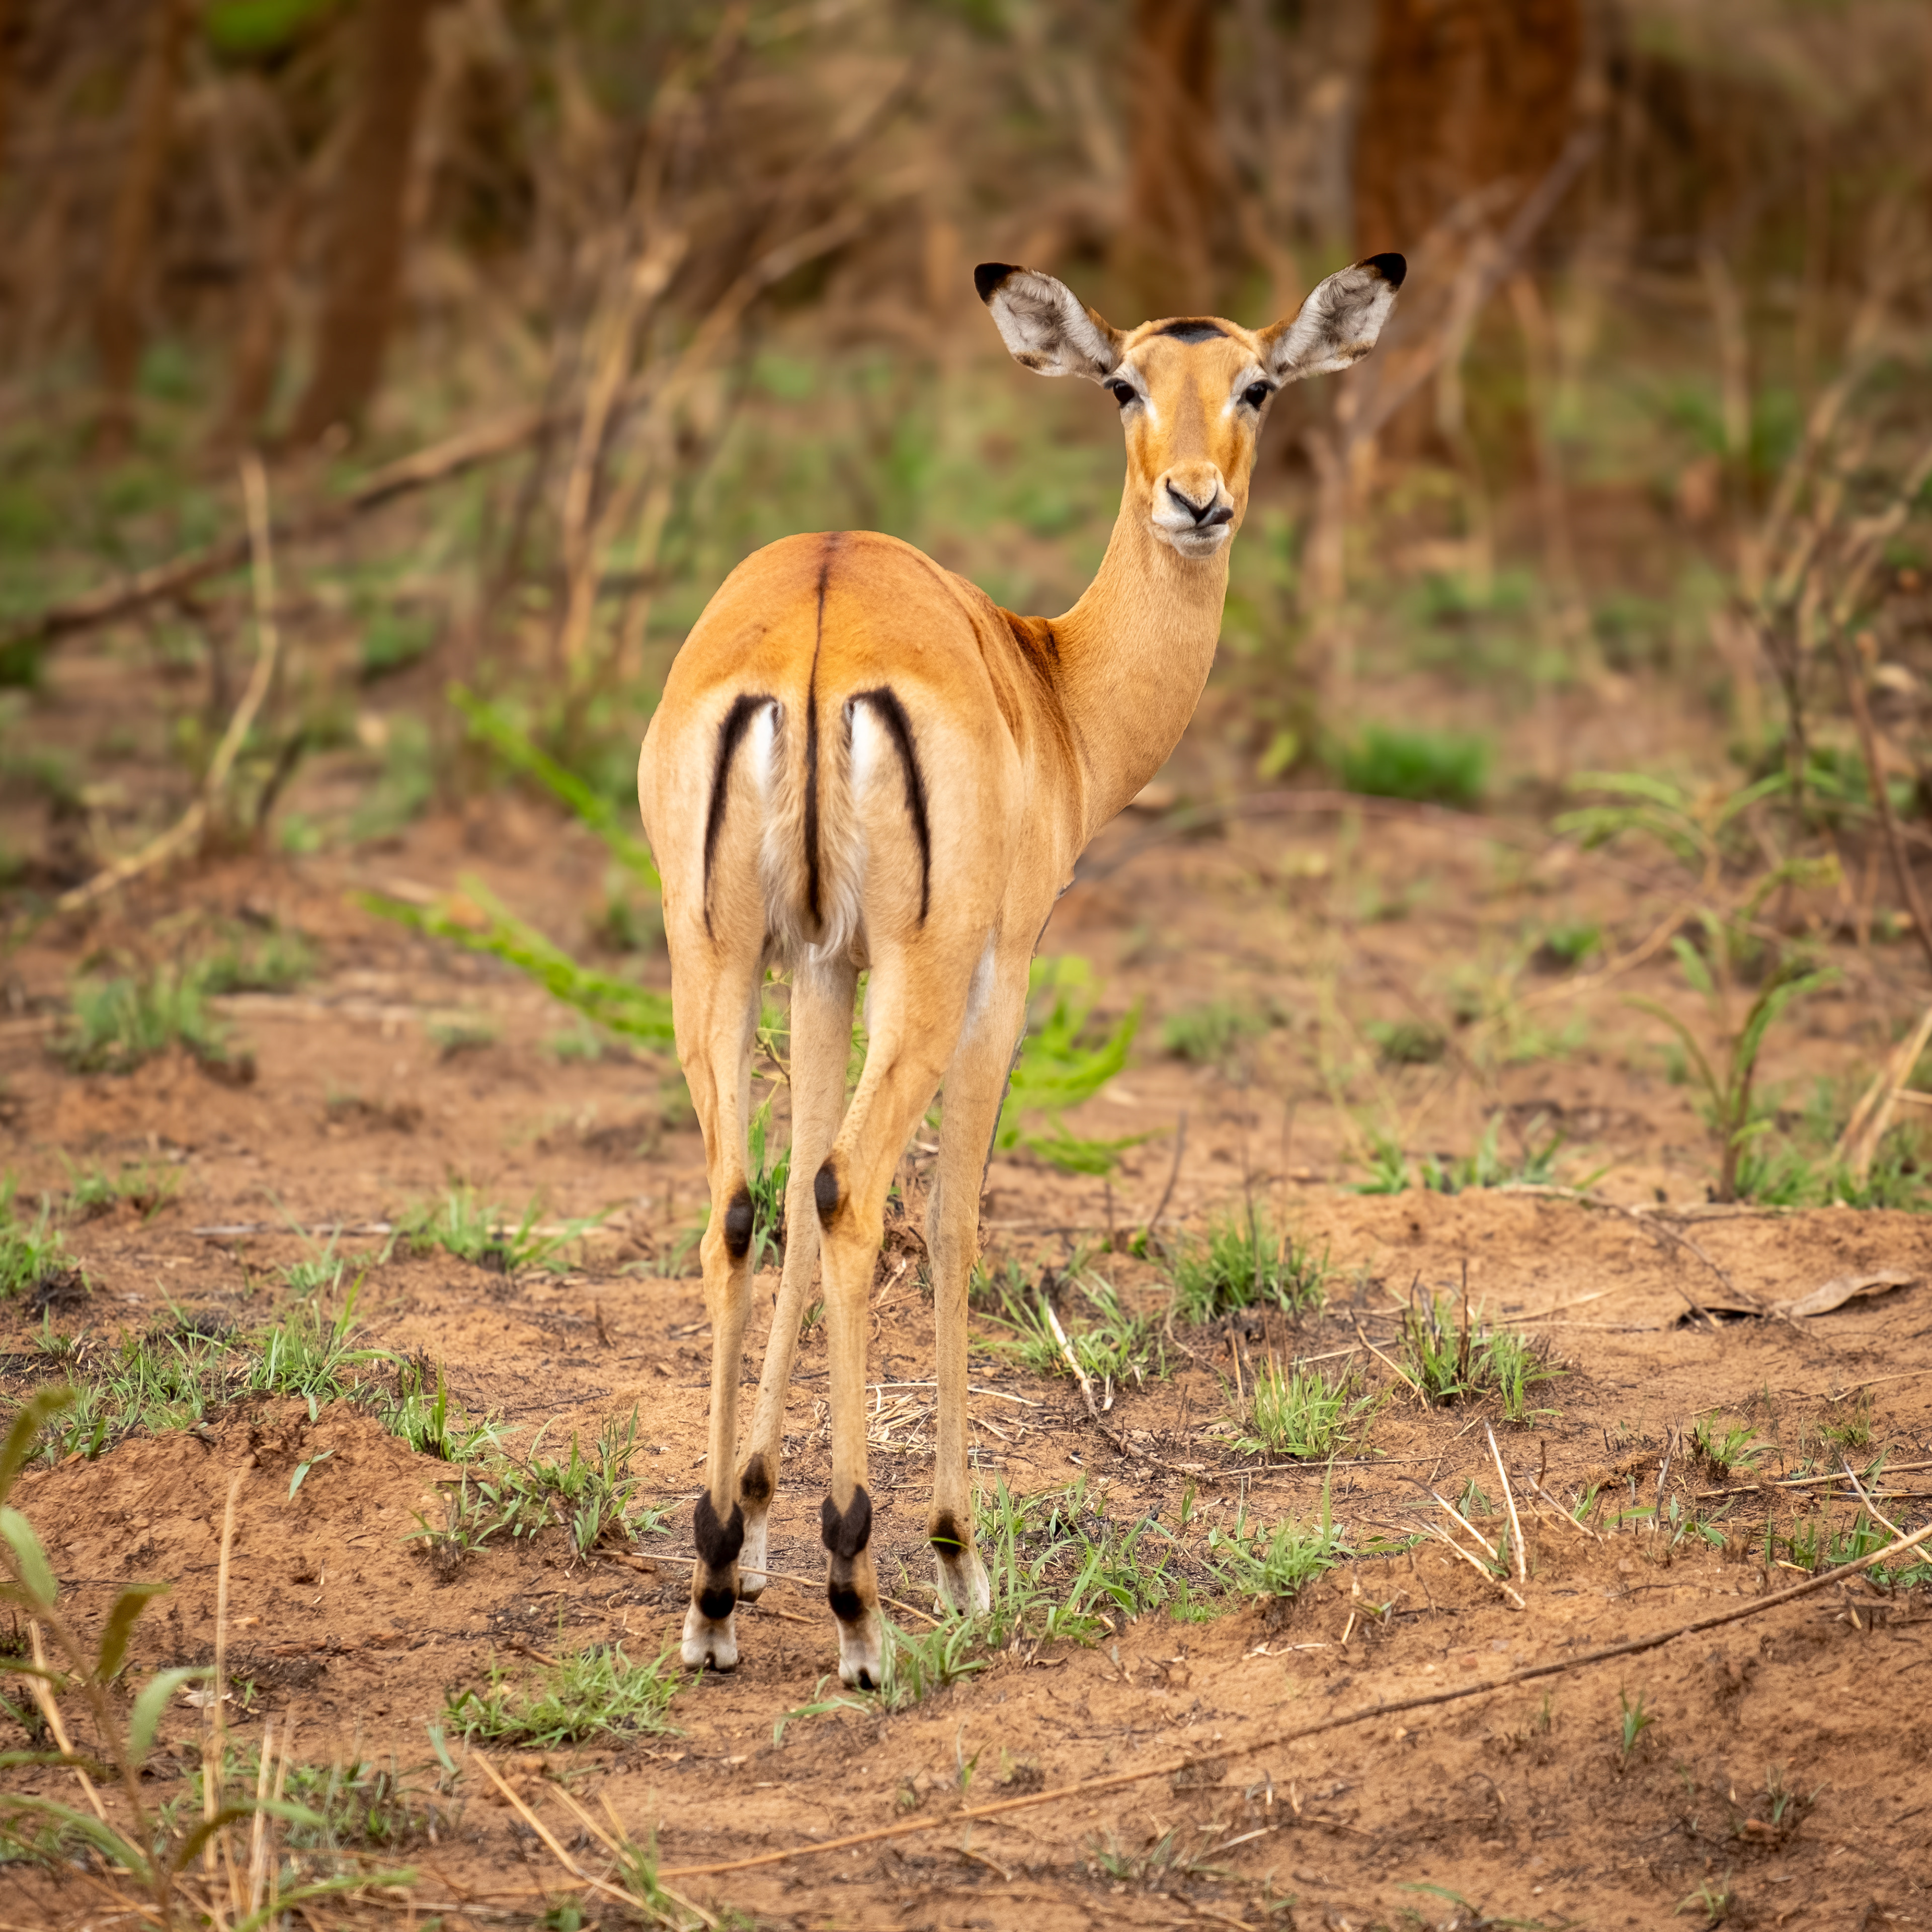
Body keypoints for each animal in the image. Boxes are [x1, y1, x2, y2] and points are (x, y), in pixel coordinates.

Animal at [637, 251, 1405, 1686]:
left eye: (1256, 385)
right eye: (1123, 385)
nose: (1196, 500)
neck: (1050, 683)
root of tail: (816, 626)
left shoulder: (821, 965)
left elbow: (789, 1191)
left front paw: (749, 1534)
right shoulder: (1006, 971)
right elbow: (951, 1218)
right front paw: (956, 1560)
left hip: (711, 960)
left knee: (744, 1201)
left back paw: (710, 1595)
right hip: (928, 977)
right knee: (861, 1196)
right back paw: (865, 1604)